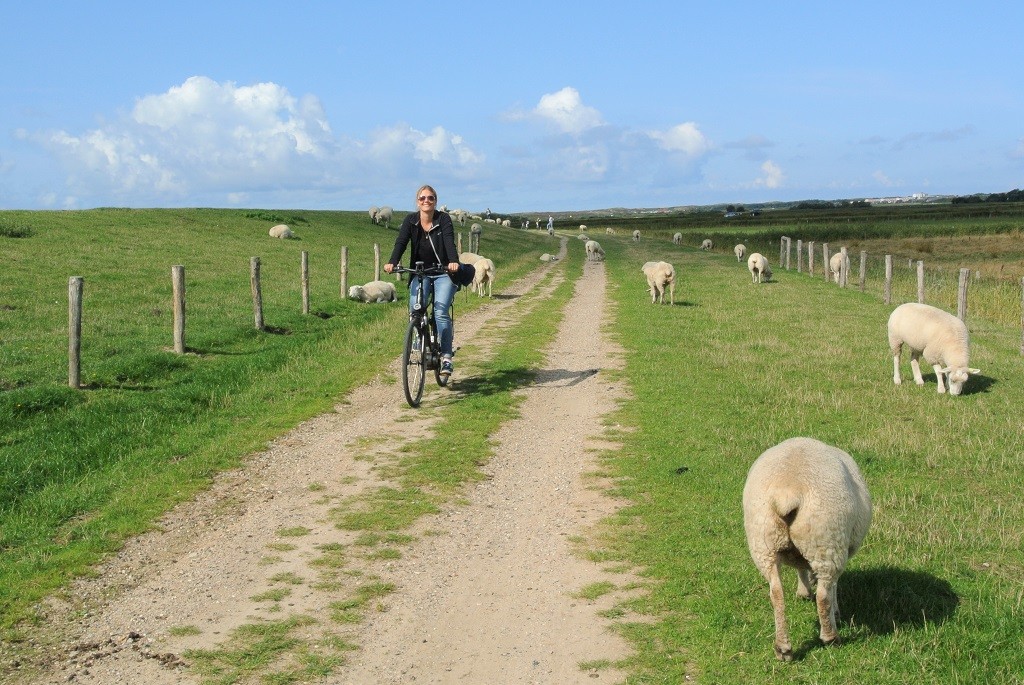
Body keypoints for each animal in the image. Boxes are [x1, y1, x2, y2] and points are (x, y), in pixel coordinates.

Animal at [745, 436, 872, 659]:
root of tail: (788, 492)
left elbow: (800, 568)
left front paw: (803, 592)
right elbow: (833, 587)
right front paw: (835, 612)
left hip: (764, 543)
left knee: (776, 593)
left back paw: (783, 648)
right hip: (827, 540)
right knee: (823, 594)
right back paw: (831, 637)